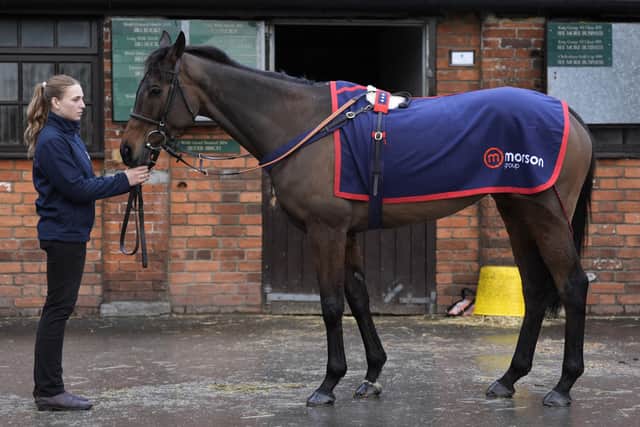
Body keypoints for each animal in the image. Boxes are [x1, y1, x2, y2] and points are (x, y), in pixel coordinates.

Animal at [120, 31, 595, 408]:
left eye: (156, 89)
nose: (128, 150)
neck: (304, 124)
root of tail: (568, 113)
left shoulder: (325, 232)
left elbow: (332, 304)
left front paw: (328, 384)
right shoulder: (346, 234)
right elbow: (359, 298)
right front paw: (371, 376)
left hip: (546, 213)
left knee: (571, 284)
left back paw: (563, 386)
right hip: (516, 210)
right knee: (535, 290)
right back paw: (508, 379)